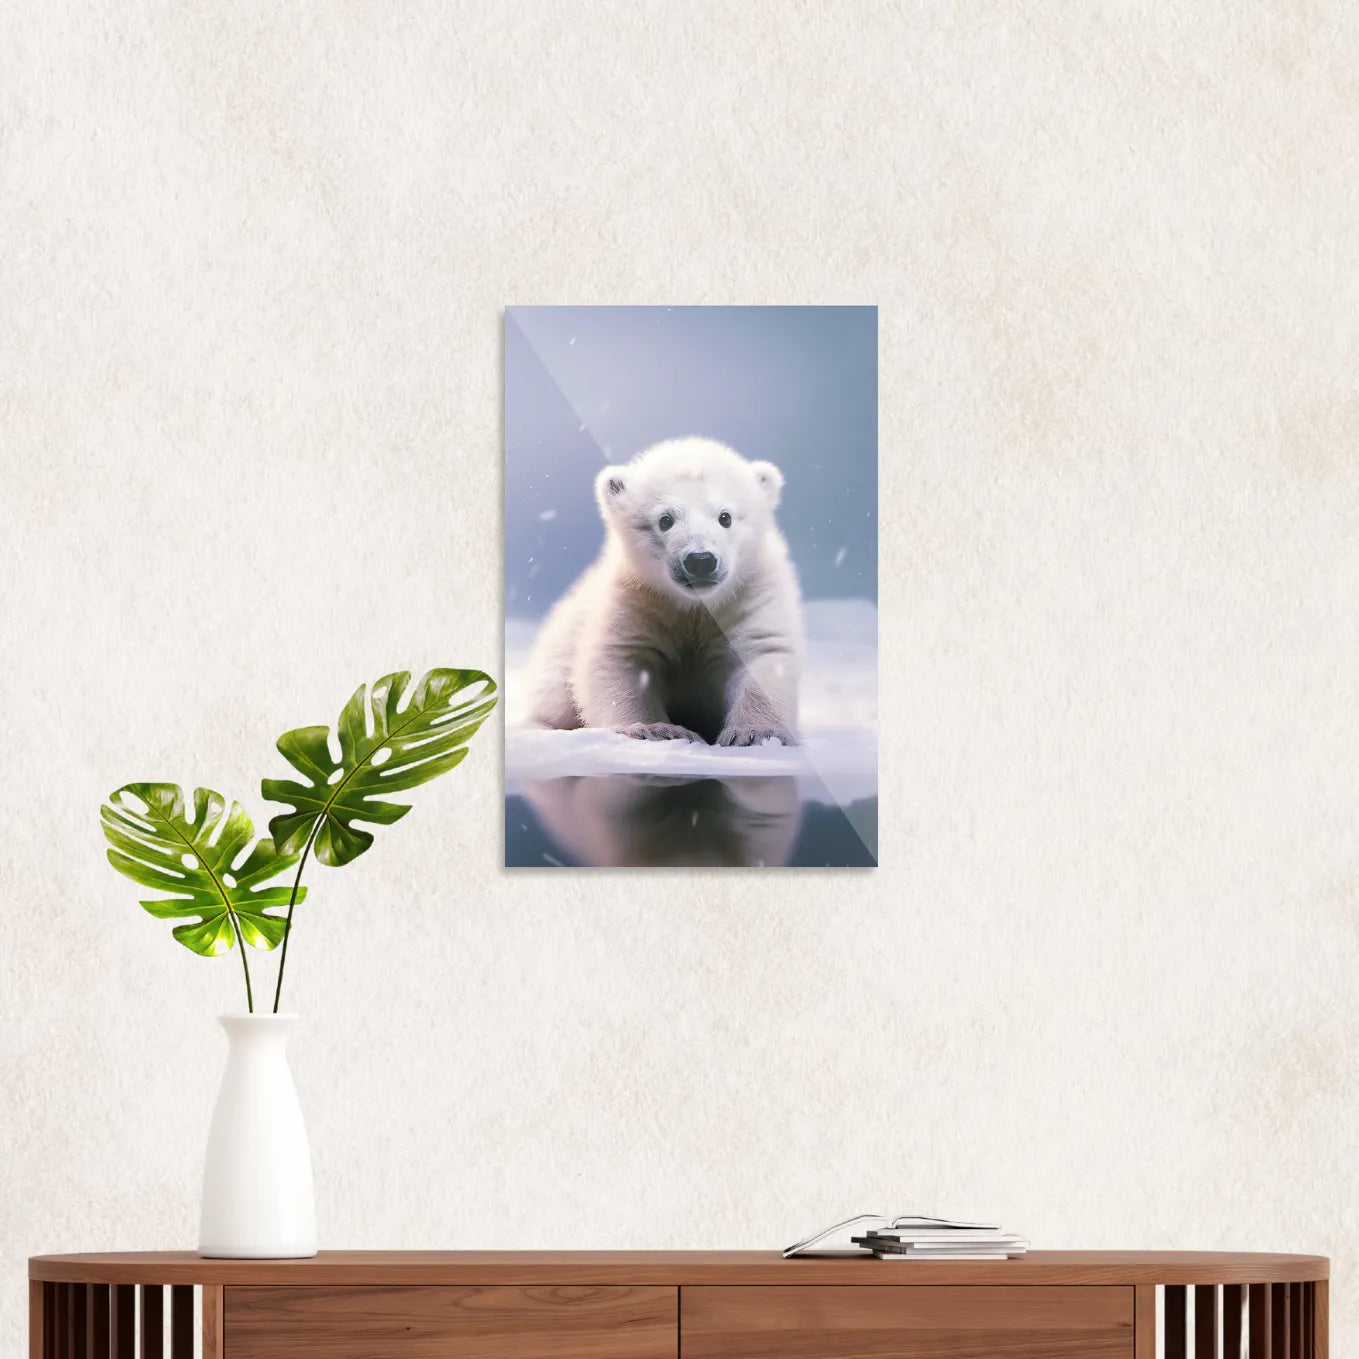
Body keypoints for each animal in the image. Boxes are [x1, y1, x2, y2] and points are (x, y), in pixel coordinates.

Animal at [524, 437, 804, 746]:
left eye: (725, 517)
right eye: (665, 520)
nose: (700, 560)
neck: (694, 606)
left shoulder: (750, 593)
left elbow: (762, 652)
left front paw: (756, 734)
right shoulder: (635, 598)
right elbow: (622, 660)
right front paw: (657, 729)